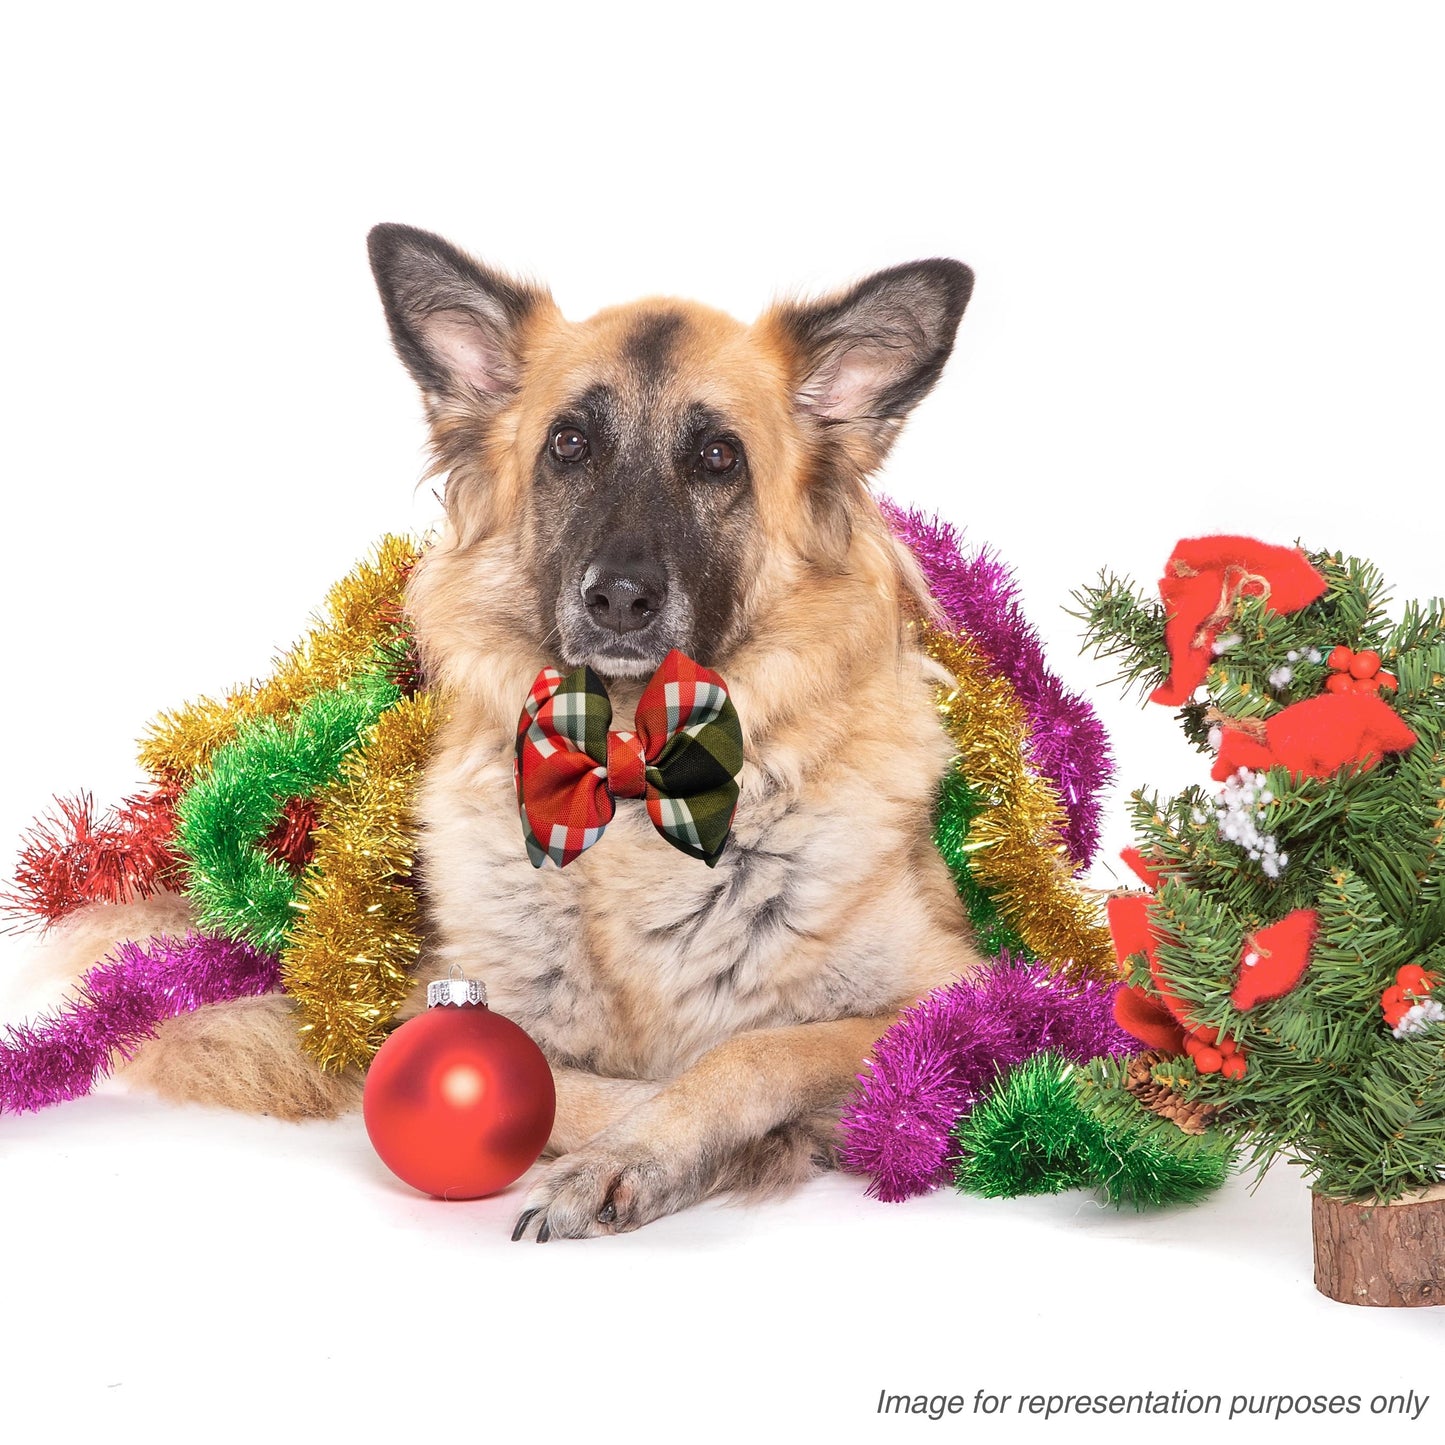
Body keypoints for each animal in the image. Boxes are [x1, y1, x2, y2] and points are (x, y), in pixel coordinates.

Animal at [56, 228, 988, 1242]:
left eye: (717, 456)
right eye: (568, 444)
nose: (618, 598)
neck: (630, 775)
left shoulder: (966, 995)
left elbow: (755, 1050)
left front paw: (663, 1150)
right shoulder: (410, 1006)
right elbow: (548, 1077)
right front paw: (711, 1142)